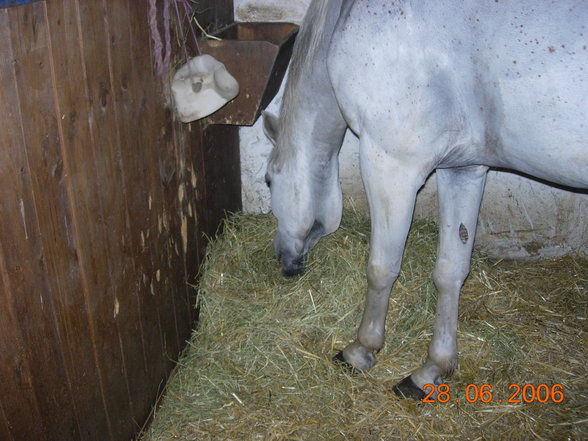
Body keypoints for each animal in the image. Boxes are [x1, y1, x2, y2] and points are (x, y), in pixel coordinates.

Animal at [262, 0, 588, 398]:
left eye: (268, 180)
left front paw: (361, 349)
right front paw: (432, 369)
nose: (283, 258)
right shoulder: (463, 169)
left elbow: (382, 267)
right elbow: (450, 271)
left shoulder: (391, 165)